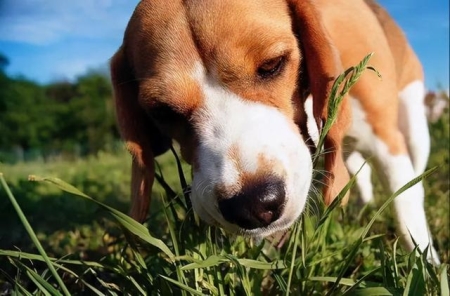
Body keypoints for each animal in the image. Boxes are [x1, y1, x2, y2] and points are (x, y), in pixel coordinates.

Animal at [110, 0, 440, 264]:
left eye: (271, 65)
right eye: (163, 111)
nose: (253, 205)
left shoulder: (387, 142)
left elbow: (406, 204)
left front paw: (426, 265)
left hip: (414, 126)